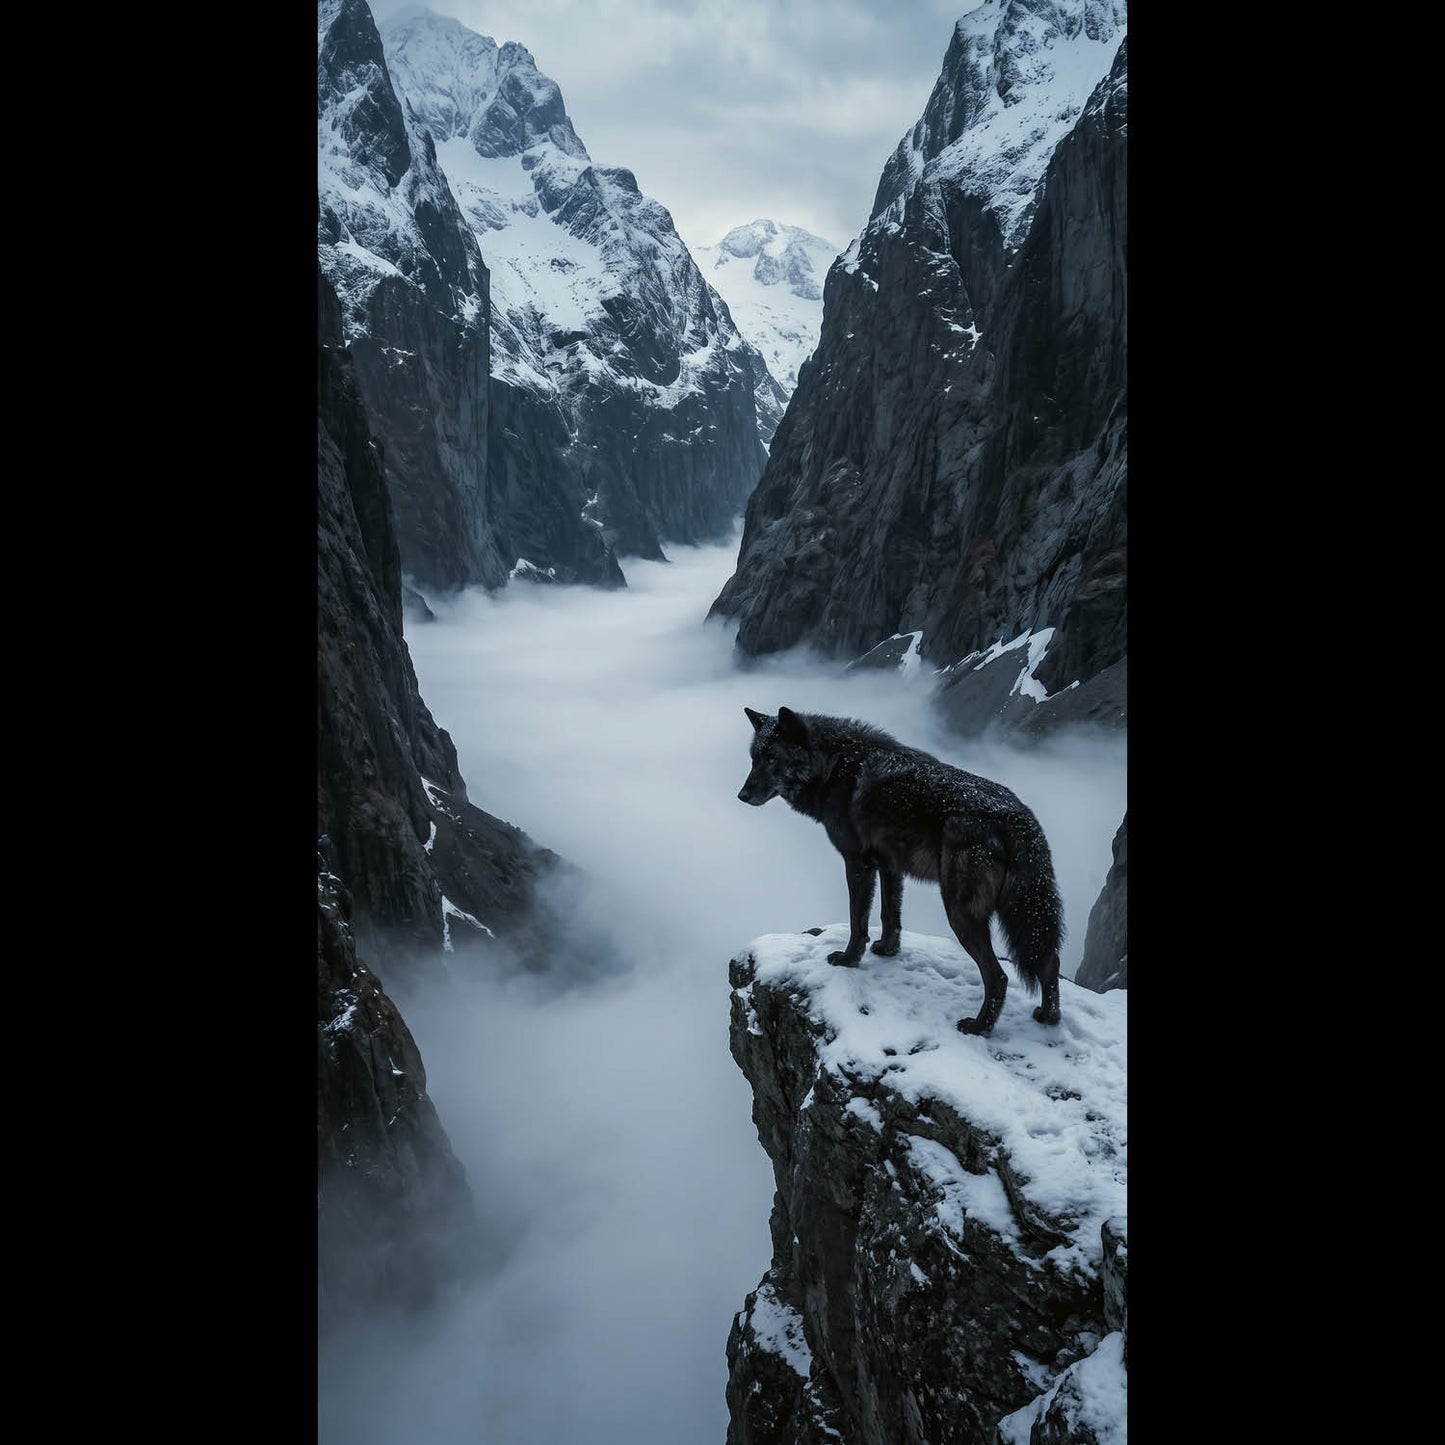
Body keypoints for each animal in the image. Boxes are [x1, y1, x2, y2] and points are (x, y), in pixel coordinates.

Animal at [737, 707, 1064, 1036]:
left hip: (961, 913)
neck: (834, 766)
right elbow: (889, 915)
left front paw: (849, 959)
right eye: (753, 758)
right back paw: (1048, 1017)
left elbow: (858, 920)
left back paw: (979, 1025)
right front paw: (887, 949)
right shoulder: (890, 865)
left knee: (999, 976)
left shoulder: (857, 863)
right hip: (1021, 912)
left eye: (771, 758)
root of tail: (1018, 818)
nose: (741, 795)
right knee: (1050, 962)